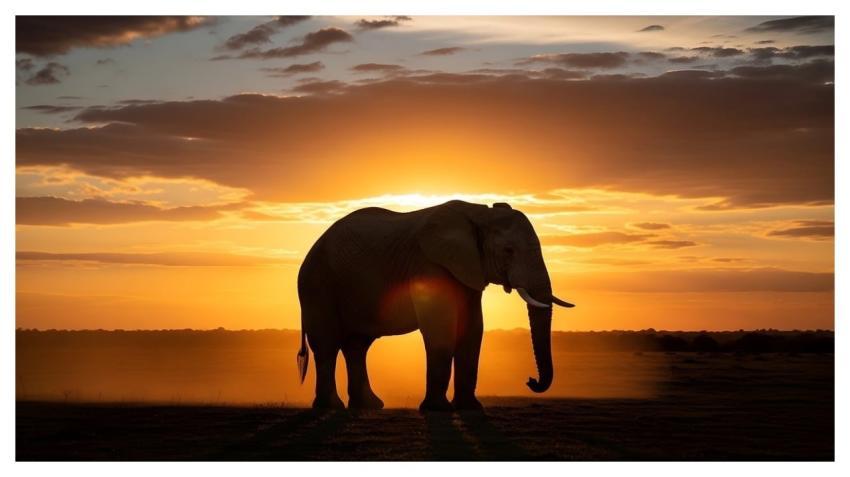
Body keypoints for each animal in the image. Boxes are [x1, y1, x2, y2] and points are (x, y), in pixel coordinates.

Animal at [296, 200, 574, 411]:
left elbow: (473, 330)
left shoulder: (469, 270)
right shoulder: (429, 265)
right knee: (327, 345)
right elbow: (440, 329)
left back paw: (369, 406)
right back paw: (330, 407)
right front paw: (437, 410)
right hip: (317, 285)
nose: (530, 380)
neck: (479, 213)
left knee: (357, 346)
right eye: (508, 250)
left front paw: (470, 408)